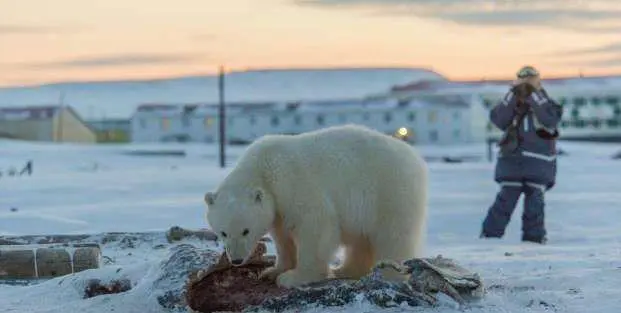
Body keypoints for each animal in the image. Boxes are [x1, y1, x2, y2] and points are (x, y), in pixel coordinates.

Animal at [203, 123, 426, 286]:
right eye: (223, 232)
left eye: (246, 231)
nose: (236, 260)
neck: (263, 168)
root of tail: (415, 158)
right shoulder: (278, 207)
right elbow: (282, 236)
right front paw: (273, 271)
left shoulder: (293, 183)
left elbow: (315, 226)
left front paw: (293, 278)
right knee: (361, 240)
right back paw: (344, 270)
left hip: (389, 190)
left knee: (393, 236)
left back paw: (389, 275)